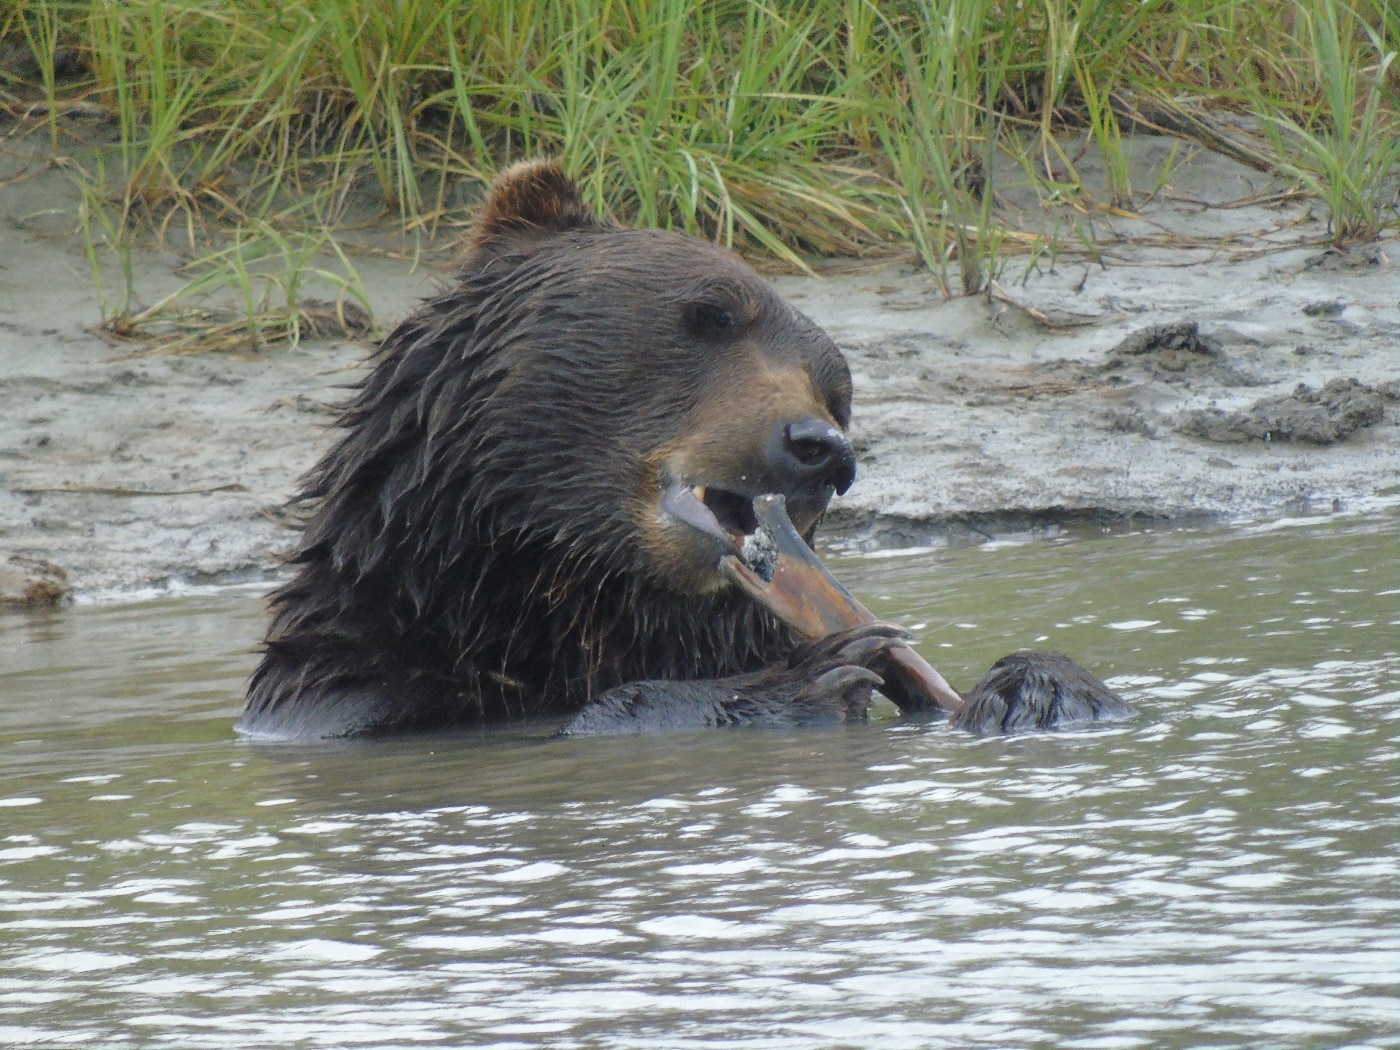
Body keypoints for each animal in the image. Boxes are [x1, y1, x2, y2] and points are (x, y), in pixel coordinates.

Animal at [240, 162, 1131, 739]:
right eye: (710, 313)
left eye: (836, 386)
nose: (820, 450)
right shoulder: (348, 701)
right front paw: (813, 677)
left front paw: (1039, 686)